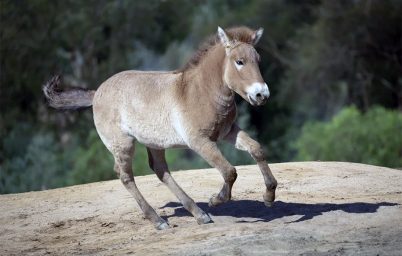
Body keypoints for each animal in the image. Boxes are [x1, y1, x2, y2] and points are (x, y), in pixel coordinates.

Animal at [43, 26, 276, 230]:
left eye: (258, 61)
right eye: (239, 62)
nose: (261, 95)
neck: (200, 91)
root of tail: (96, 93)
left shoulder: (228, 132)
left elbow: (256, 149)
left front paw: (269, 196)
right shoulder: (200, 142)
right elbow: (229, 171)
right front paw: (216, 200)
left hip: (154, 143)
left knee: (160, 171)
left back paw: (199, 214)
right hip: (123, 144)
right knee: (125, 176)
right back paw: (159, 221)